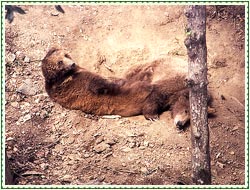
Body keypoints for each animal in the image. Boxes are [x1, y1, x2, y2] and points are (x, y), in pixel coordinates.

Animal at [42, 47, 212, 127]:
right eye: (186, 111)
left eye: (190, 119)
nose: (180, 124)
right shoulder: (168, 83)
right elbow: (153, 96)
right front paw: (152, 116)